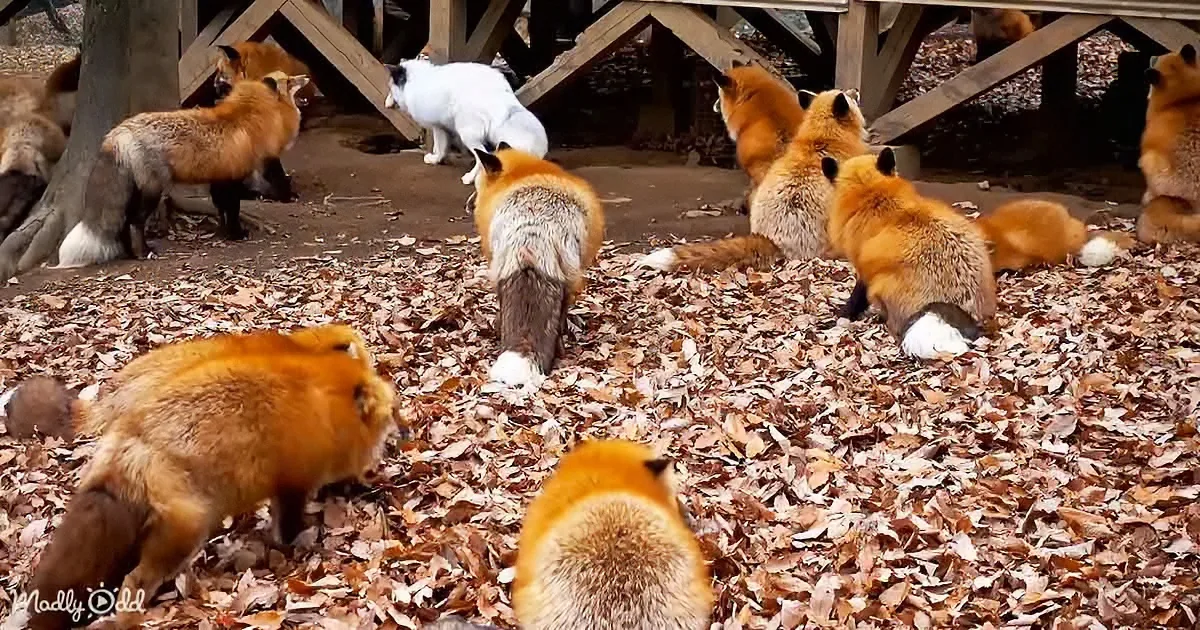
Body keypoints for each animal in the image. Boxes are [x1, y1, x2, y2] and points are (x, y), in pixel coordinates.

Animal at [6, 346, 397, 630]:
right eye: (390, 417)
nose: (403, 435)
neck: (325, 406)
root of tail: (128, 440)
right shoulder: (292, 484)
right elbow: (286, 529)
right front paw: (300, 545)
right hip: (187, 530)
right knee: (134, 583)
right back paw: (128, 620)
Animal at [55, 72, 308, 269]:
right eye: (289, 80)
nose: (307, 76)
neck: (247, 119)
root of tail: (117, 132)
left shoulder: (220, 179)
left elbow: (222, 209)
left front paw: (225, 233)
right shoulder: (233, 178)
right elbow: (233, 209)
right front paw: (237, 234)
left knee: (125, 222)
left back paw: (129, 252)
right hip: (152, 191)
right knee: (135, 221)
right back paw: (142, 253)